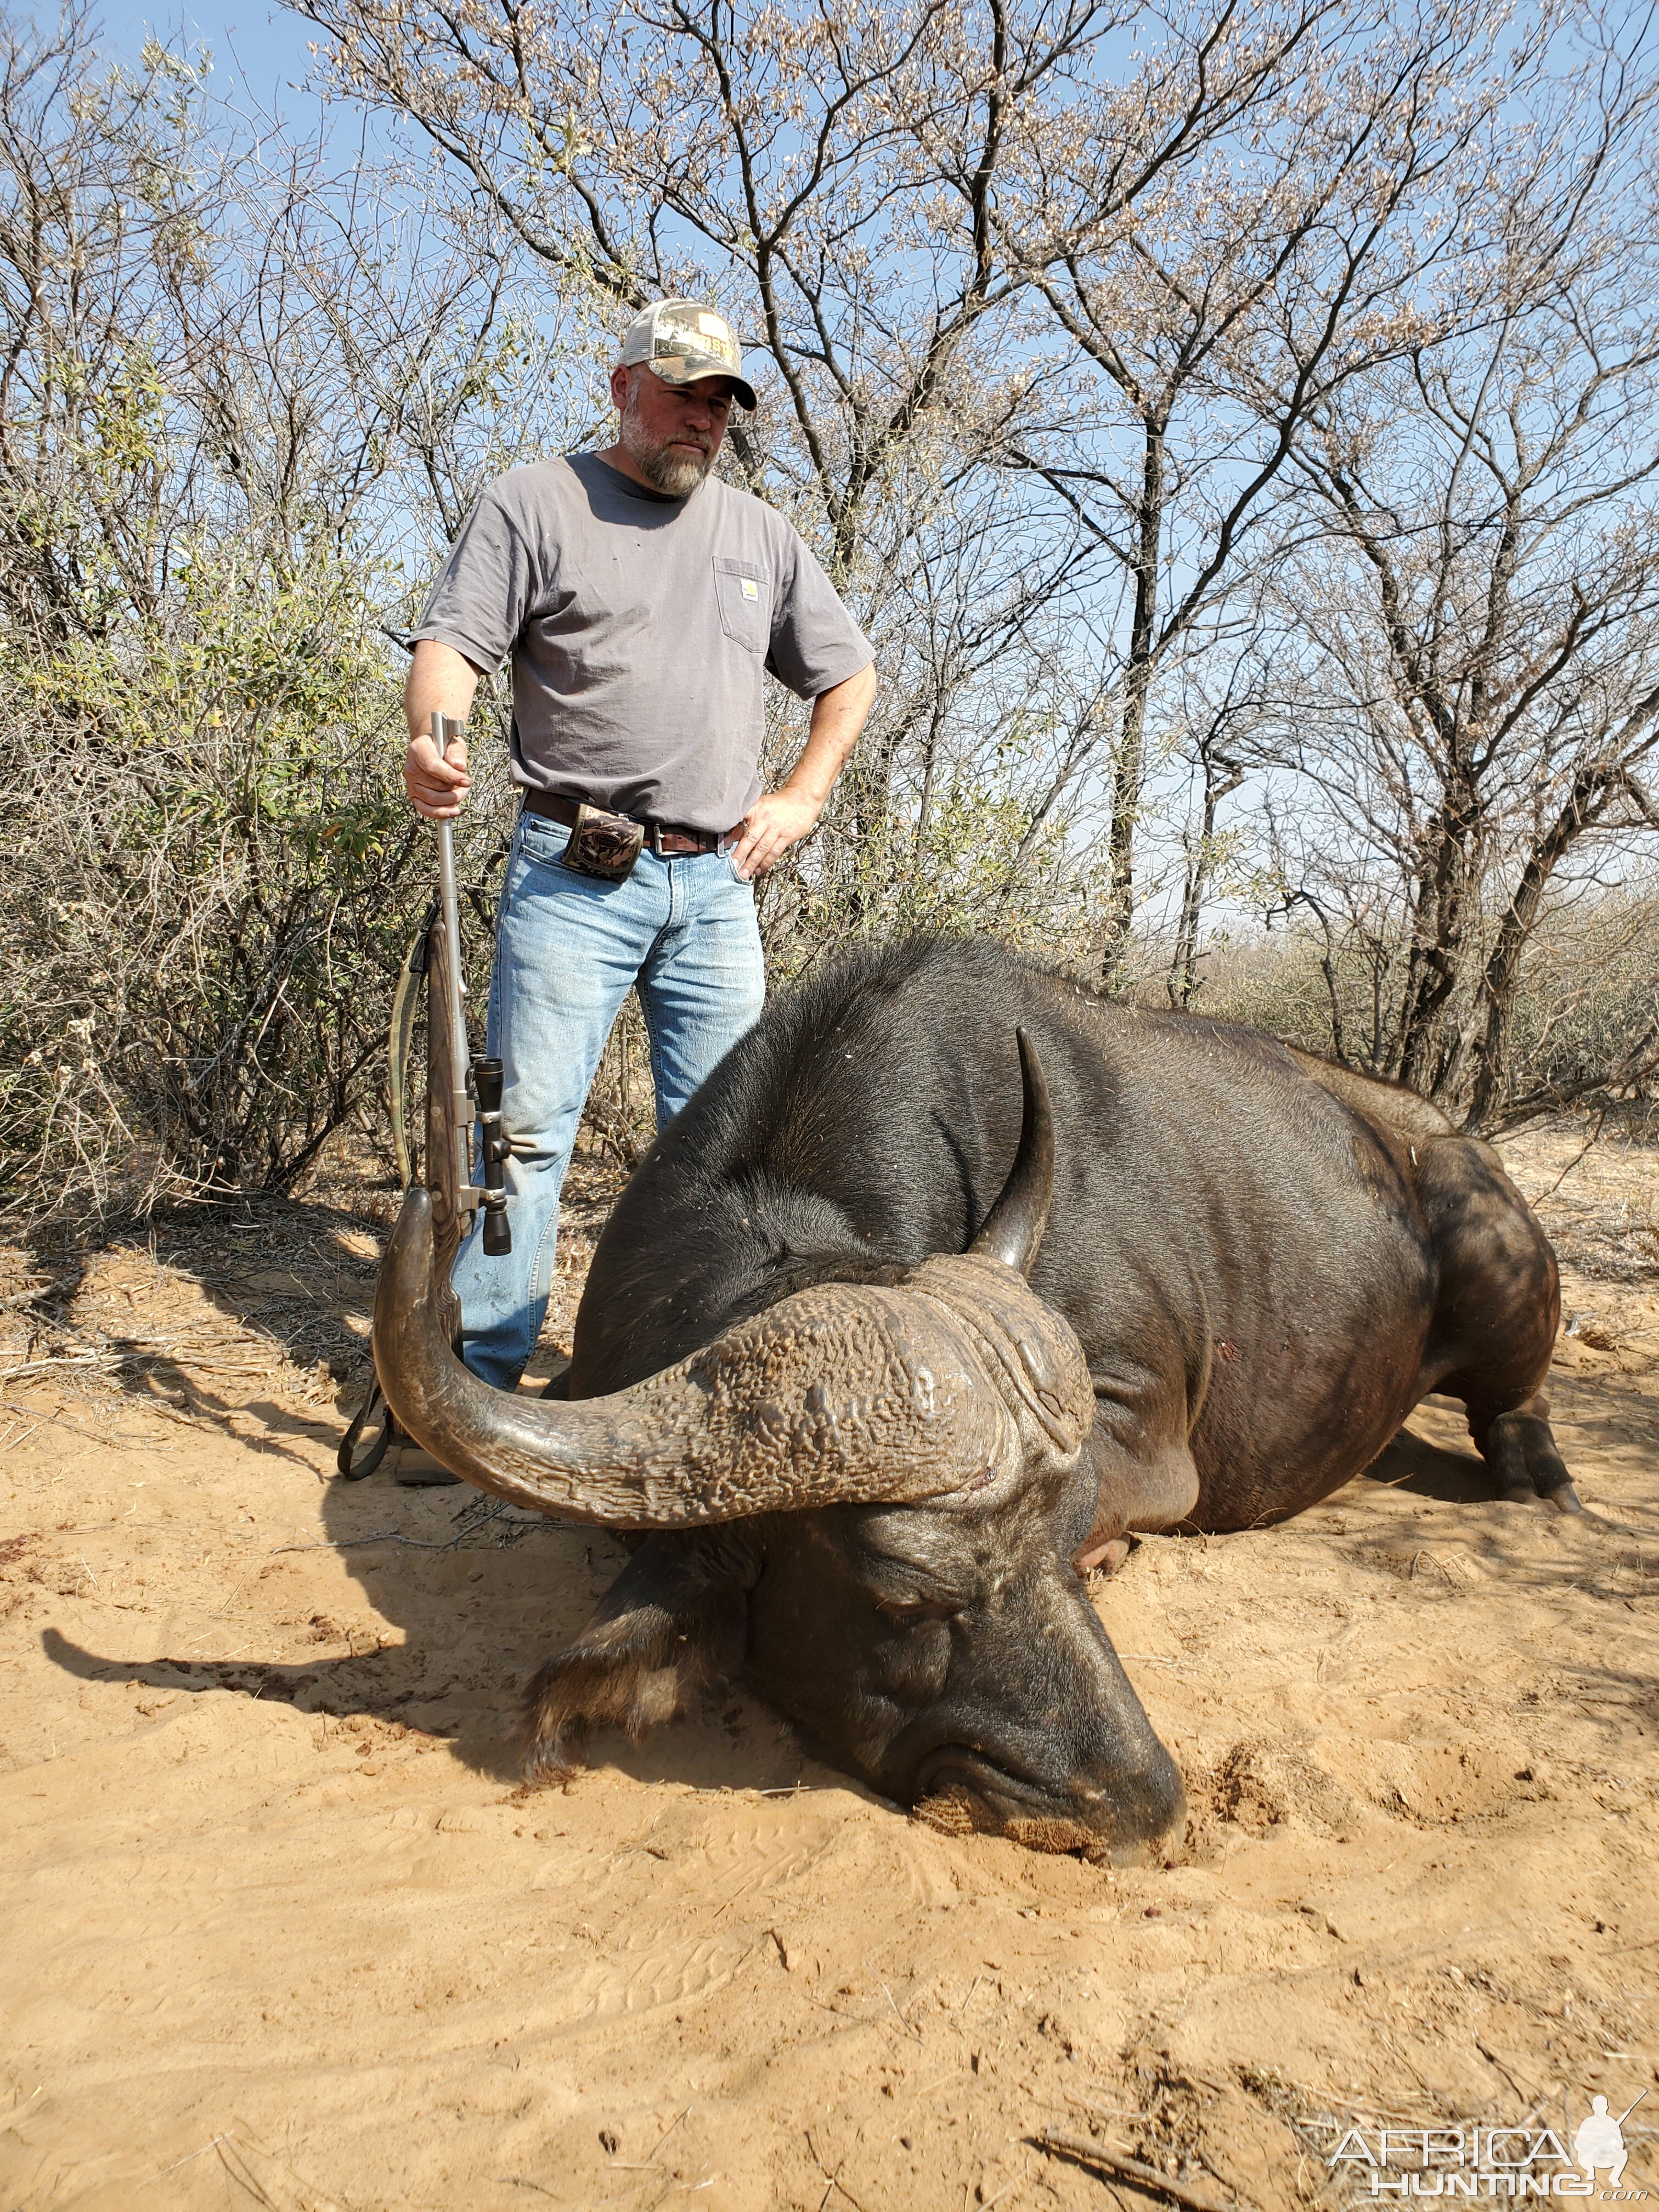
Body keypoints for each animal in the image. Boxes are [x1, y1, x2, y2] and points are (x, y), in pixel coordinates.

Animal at [369, 938, 1575, 1867]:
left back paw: (1543, 1482)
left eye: (1062, 1545)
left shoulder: (1147, 1441)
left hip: (1505, 1277)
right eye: (901, 1594)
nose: (1141, 1805)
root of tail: (1428, 1137)